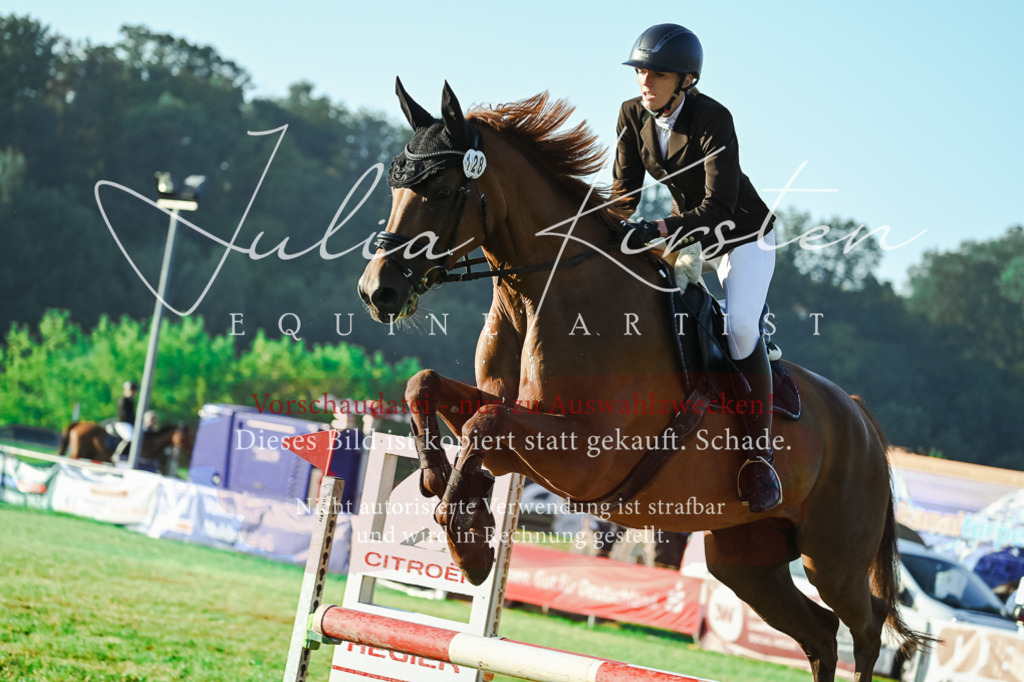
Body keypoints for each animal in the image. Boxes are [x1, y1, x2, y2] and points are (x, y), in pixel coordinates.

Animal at [357, 79, 927, 681]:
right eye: (395, 187)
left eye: (442, 189)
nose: (377, 292)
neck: (539, 295)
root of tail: (861, 420)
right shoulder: (515, 419)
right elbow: (429, 388)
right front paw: (443, 489)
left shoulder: (585, 455)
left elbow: (483, 425)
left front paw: (468, 542)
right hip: (746, 559)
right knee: (819, 633)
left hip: (833, 556)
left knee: (866, 628)